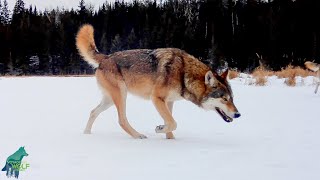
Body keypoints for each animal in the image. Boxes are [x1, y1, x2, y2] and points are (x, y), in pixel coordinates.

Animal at [75, 24, 240, 139]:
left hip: (110, 100)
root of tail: (106, 57)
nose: (238, 114)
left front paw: (171, 140)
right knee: (121, 120)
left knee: (93, 112)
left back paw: (86, 134)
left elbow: (170, 122)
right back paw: (138, 136)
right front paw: (159, 129)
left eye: (232, 98)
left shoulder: (169, 101)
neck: (183, 73)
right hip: (121, 95)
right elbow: (173, 123)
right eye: (224, 99)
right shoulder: (157, 98)